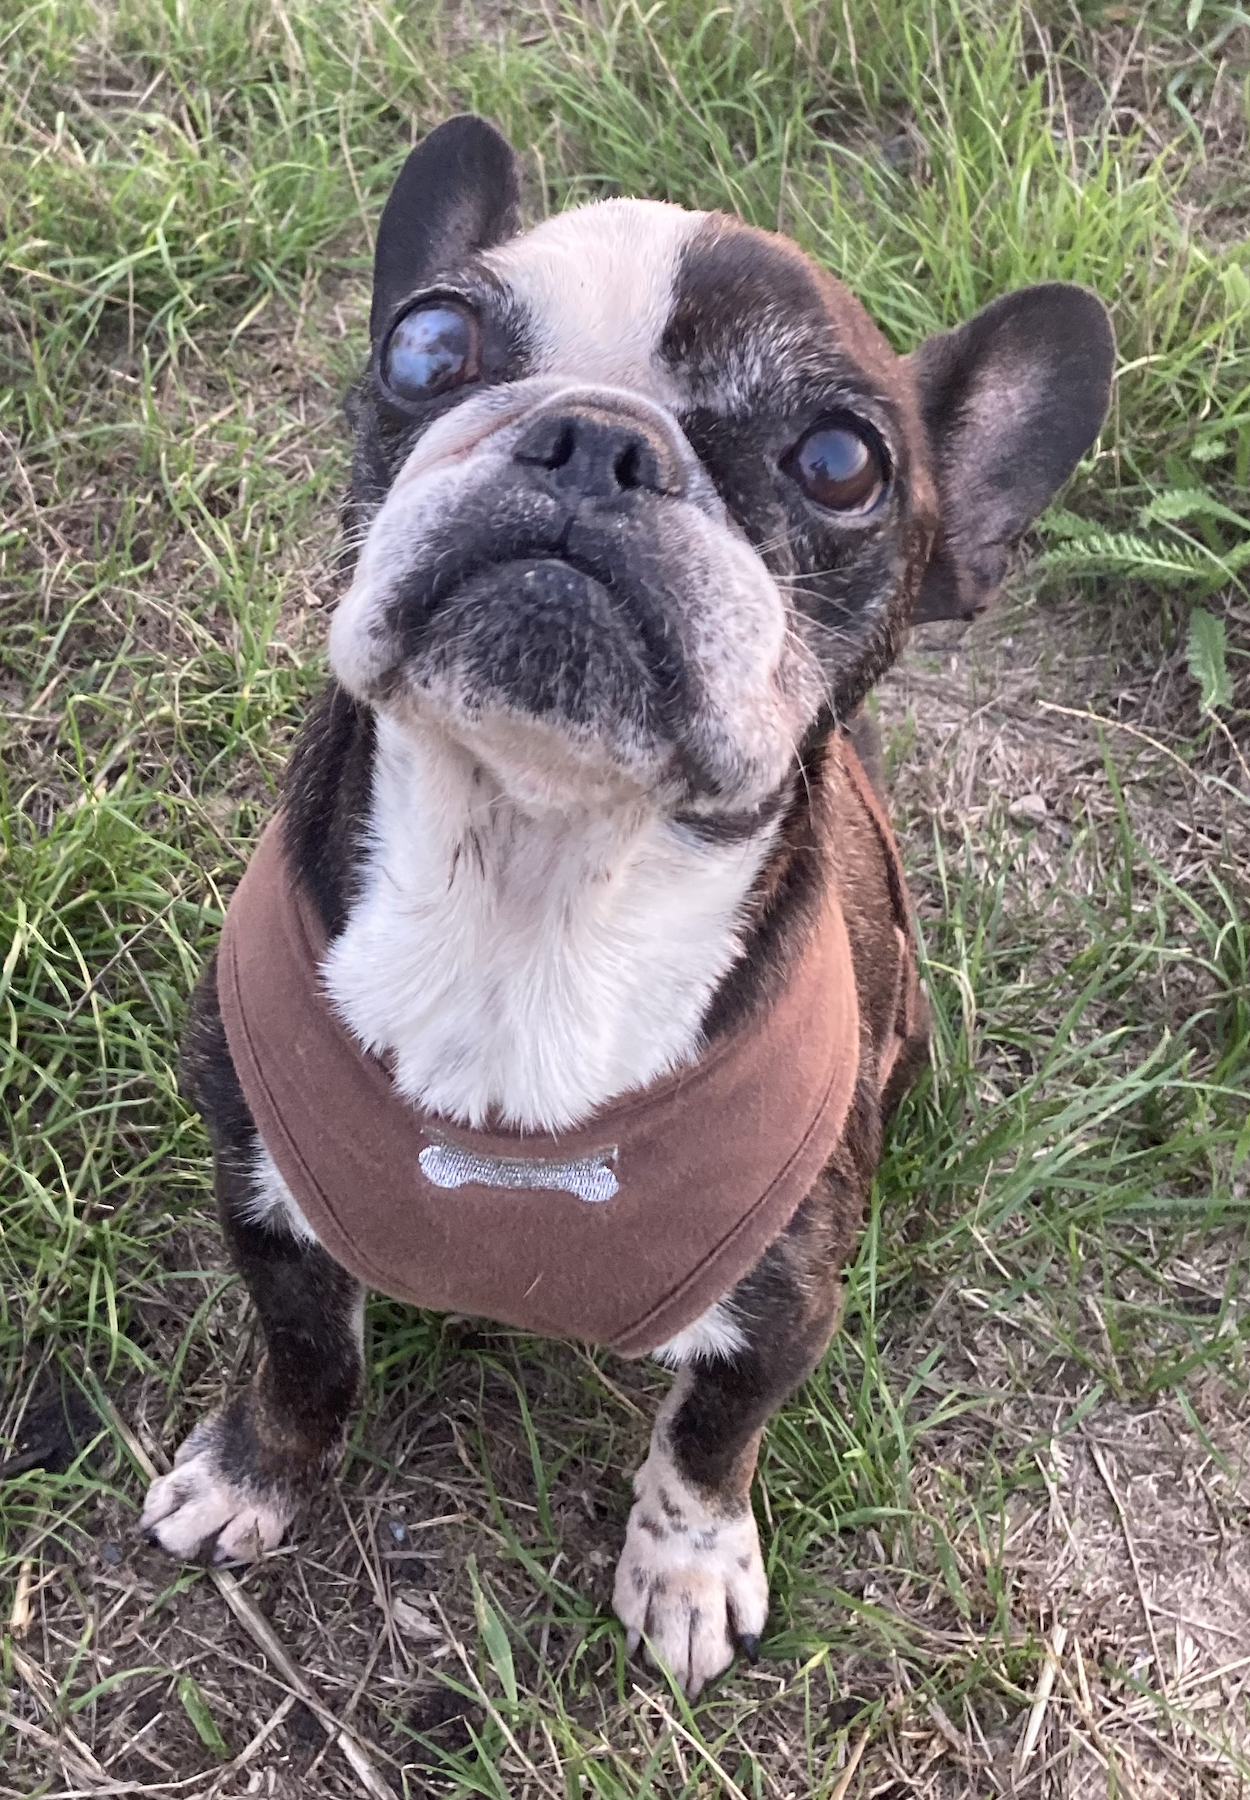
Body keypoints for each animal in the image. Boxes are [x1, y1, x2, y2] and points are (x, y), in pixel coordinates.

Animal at [139, 116, 1116, 1699]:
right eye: (429, 344)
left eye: (839, 459)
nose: (593, 438)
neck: (534, 878)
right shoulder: (262, 1200)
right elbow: (306, 1355)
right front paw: (257, 1471)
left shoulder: (783, 1307)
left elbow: (711, 1440)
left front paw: (687, 1567)